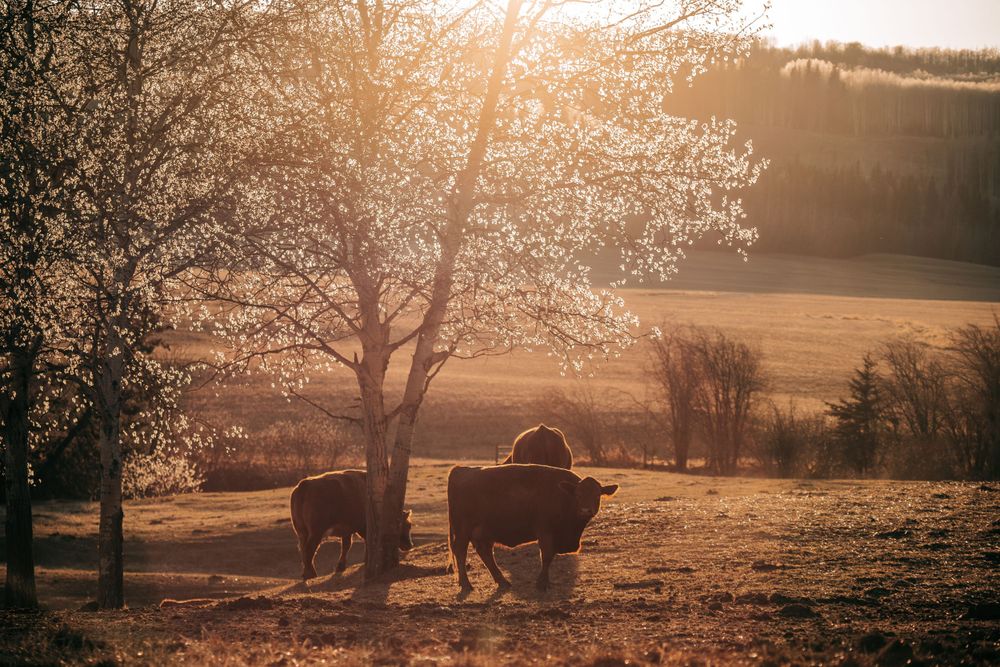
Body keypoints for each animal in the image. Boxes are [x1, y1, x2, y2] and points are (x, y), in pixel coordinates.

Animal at [446, 464, 618, 591]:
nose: (585, 510)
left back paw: (502, 582)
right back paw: (466, 584)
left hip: (484, 532)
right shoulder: (545, 532)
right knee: (460, 552)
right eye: (578, 495)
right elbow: (547, 556)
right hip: (463, 530)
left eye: (597, 496)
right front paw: (542, 583)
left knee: (486, 553)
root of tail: (461, 469)